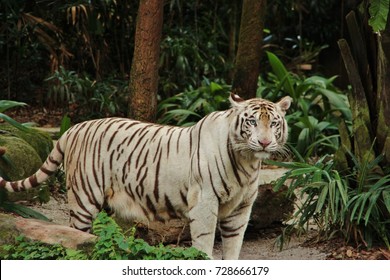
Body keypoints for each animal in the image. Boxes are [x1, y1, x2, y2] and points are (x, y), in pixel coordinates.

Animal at [0, 93, 290, 260]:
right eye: (252, 122)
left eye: (274, 123)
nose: (264, 143)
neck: (247, 161)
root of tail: (74, 128)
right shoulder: (205, 202)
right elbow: (205, 243)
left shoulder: (242, 208)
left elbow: (233, 246)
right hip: (84, 199)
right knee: (74, 237)